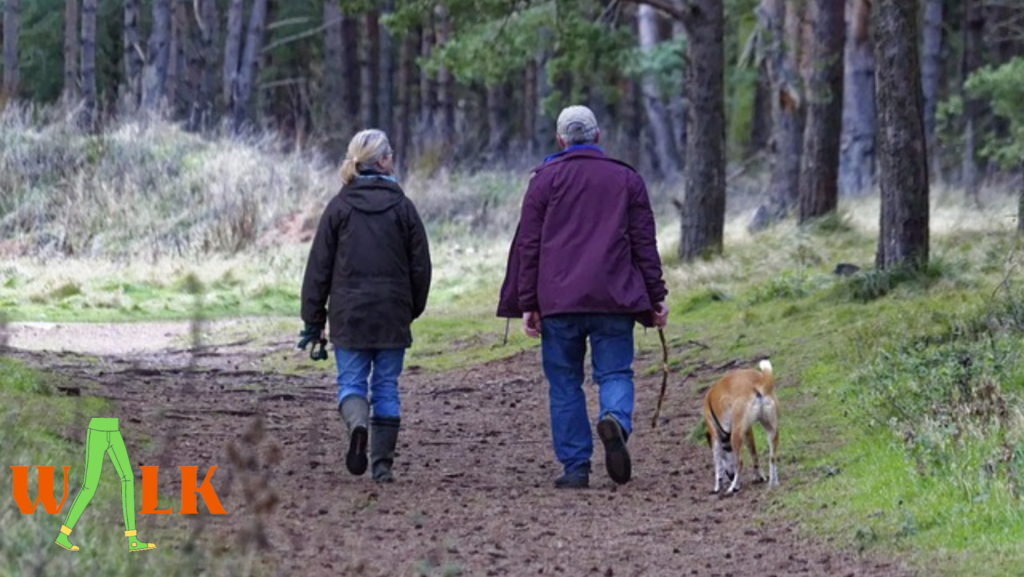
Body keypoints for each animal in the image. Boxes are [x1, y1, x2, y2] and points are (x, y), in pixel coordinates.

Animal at [700, 358, 778, 493]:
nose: (730, 476)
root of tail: (756, 383)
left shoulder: (715, 436)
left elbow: (718, 465)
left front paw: (718, 486)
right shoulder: (747, 431)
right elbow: (754, 455)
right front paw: (759, 477)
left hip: (736, 436)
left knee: (739, 463)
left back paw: (732, 488)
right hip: (771, 430)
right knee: (772, 458)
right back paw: (773, 483)